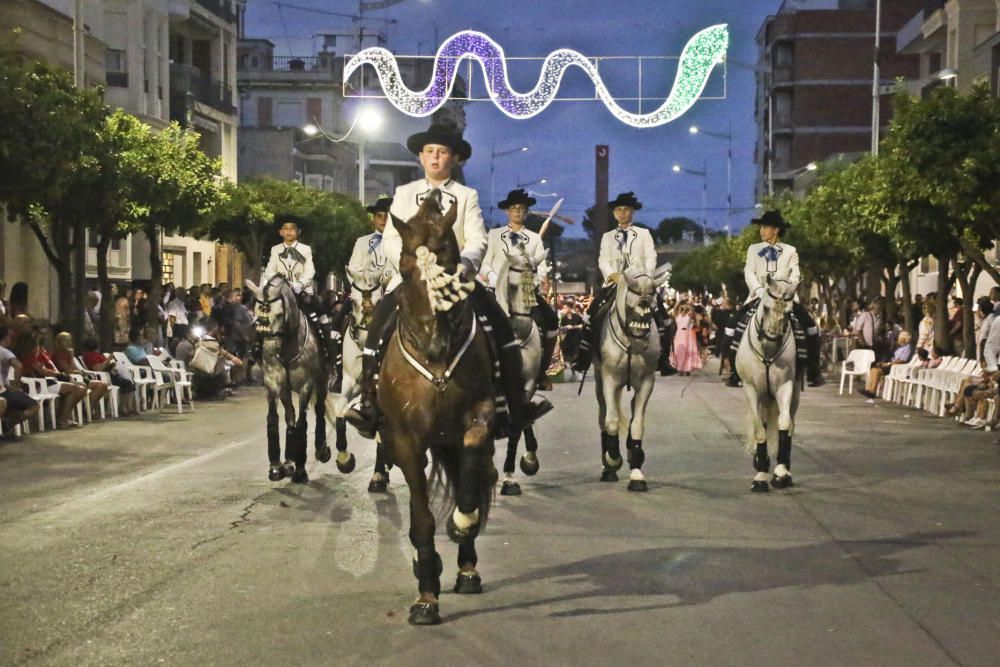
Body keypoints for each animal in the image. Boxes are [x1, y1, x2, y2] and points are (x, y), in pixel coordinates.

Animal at [245, 276, 356, 486]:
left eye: (280, 314)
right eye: (256, 313)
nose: (270, 351)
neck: (287, 345)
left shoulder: (306, 386)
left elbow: (302, 424)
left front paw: (301, 470)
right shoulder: (273, 384)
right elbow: (274, 418)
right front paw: (276, 467)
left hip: (321, 383)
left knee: (318, 411)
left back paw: (321, 450)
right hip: (286, 390)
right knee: (289, 416)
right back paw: (289, 462)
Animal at [378, 192, 496, 628]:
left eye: (448, 265)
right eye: (405, 270)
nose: (434, 344)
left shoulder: (481, 414)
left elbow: (473, 458)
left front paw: (462, 523)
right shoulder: (405, 441)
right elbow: (421, 518)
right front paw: (426, 596)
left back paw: (468, 568)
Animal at [592, 264, 672, 490]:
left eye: (652, 294)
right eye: (635, 293)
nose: (644, 309)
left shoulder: (646, 382)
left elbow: (637, 424)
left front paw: (636, 471)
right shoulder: (609, 379)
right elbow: (610, 421)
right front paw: (612, 459)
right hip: (599, 381)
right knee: (603, 414)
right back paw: (607, 466)